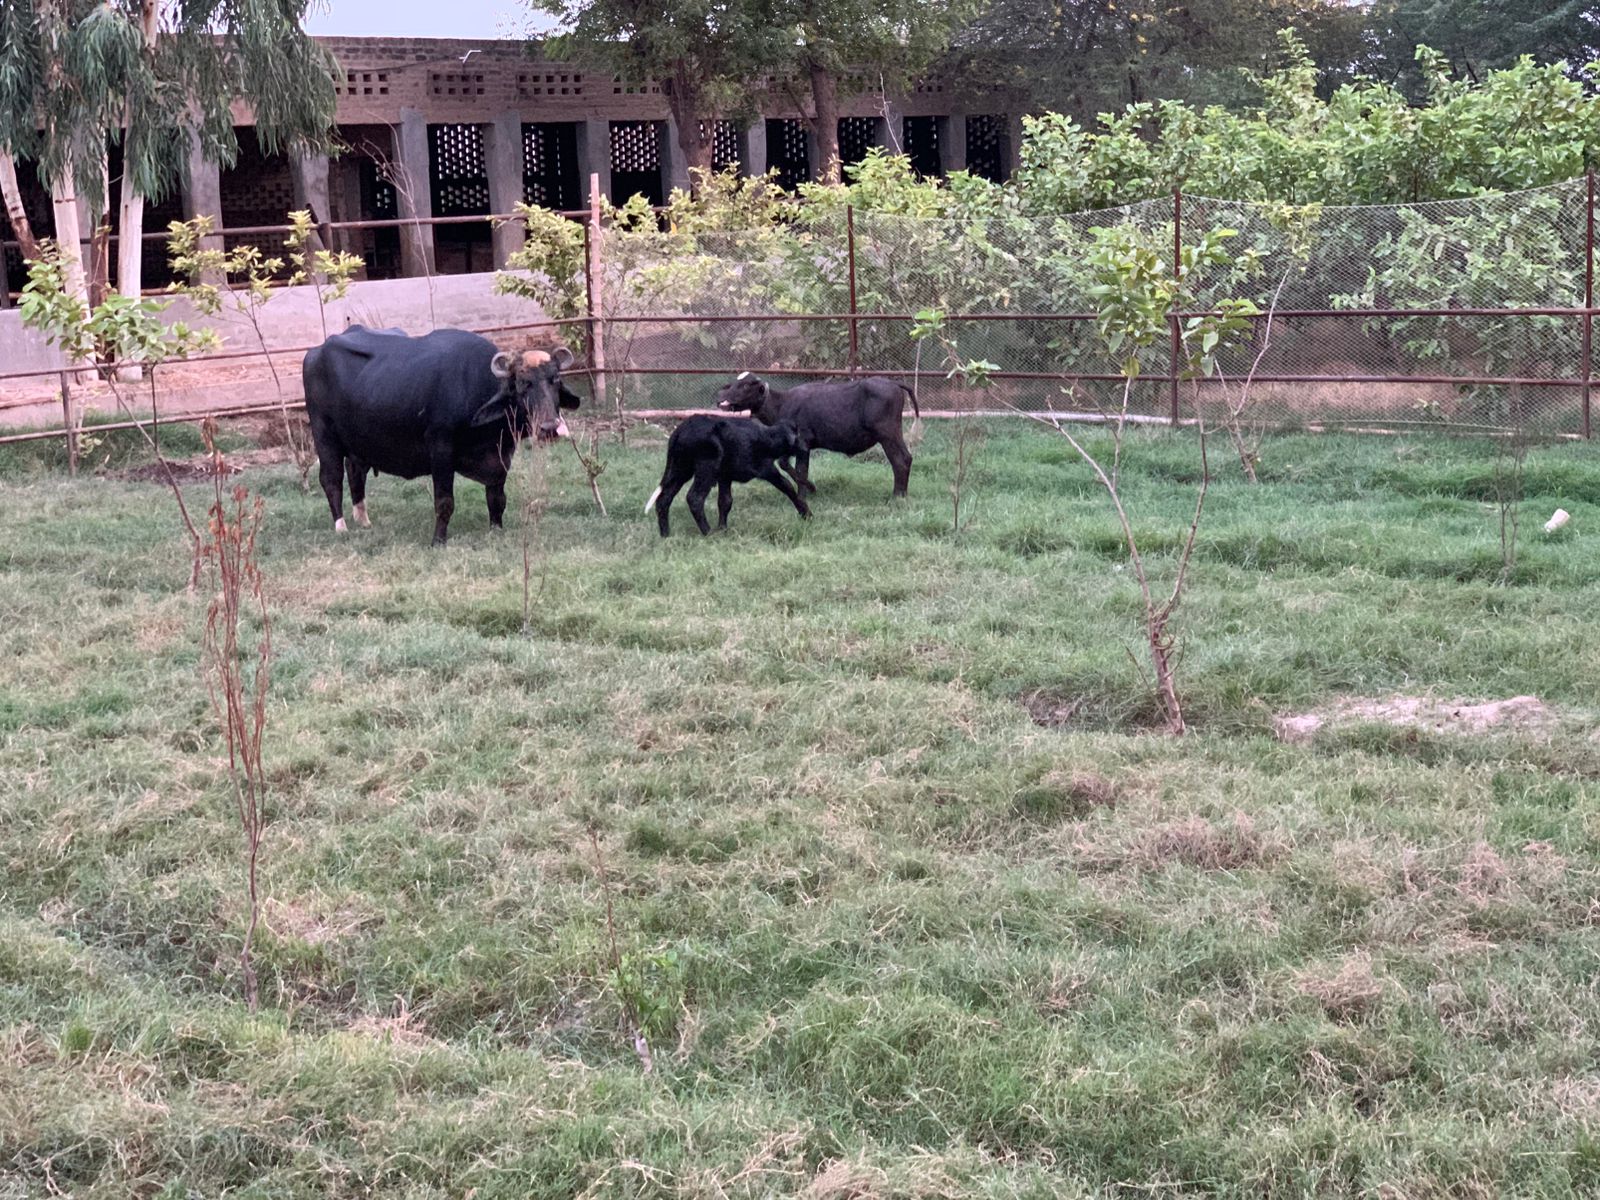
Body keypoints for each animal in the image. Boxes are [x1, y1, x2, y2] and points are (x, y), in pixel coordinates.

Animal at [302, 326, 580, 546]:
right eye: (523, 384)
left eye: (555, 380)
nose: (549, 427)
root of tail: (315, 352)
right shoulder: (441, 448)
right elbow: (445, 501)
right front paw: (438, 540)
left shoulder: (501, 454)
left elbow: (497, 498)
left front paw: (496, 529)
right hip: (324, 435)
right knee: (331, 479)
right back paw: (341, 527)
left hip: (359, 443)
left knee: (355, 473)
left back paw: (363, 520)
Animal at [645, 415, 809, 537]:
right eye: (798, 434)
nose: (806, 449)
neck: (768, 437)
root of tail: (679, 431)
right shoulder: (767, 469)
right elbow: (788, 486)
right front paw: (807, 514)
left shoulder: (725, 476)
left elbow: (725, 502)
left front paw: (723, 529)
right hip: (706, 468)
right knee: (694, 498)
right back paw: (708, 533)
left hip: (680, 469)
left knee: (664, 498)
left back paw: (665, 535)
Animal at [715, 373, 920, 498]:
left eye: (745, 386)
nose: (720, 395)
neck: (782, 403)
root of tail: (893, 382)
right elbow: (786, 464)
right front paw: (808, 490)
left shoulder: (802, 444)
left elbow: (799, 469)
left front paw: (807, 492)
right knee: (906, 458)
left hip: (887, 435)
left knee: (900, 460)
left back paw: (897, 496)